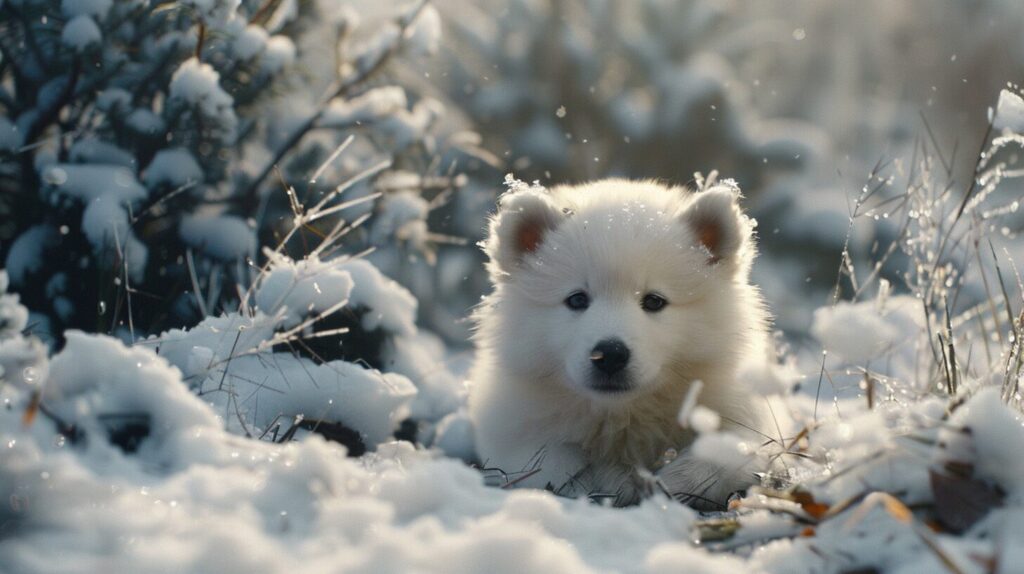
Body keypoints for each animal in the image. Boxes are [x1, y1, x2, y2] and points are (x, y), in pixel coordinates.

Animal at [468, 178, 770, 505]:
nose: (610, 355)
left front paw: (669, 481)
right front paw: (610, 479)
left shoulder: (742, 415)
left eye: (654, 301)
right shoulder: (515, 430)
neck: (623, 414)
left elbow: (723, 455)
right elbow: (552, 460)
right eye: (577, 299)